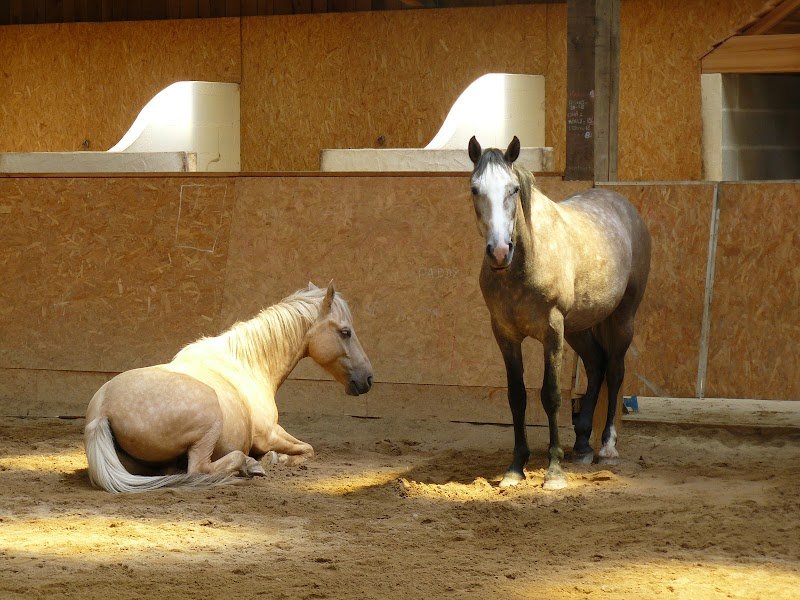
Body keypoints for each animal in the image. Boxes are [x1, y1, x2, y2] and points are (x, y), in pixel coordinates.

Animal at [84, 282, 373, 493]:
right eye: (345, 332)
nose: (368, 379)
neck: (247, 365)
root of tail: (102, 409)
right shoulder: (269, 434)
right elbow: (307, 449)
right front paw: (273, 459)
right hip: (210, 421)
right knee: (200, 469)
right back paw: (249, 466)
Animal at [468, 136, 651, 490]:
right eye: (474, 189)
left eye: (513, 189)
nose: (499, 252)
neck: (525, 262)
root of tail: (624, 206)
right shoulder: (505, 334)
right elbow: (517, 396)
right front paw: (516, 467)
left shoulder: (552, 331)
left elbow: (551, 395)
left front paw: (553, 471)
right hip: (579, 328)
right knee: (596, 365)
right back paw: (582, 445)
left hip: (622, 319)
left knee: (615, 370)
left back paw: (607, 446)